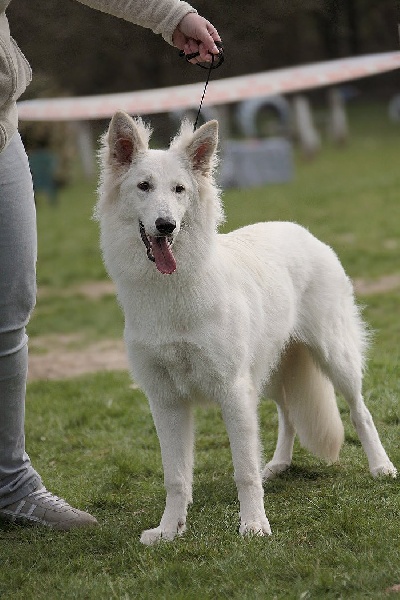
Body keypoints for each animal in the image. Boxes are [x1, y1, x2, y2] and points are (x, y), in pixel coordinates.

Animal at [96, 111, 396, 544]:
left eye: (179, 189)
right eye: (144, 186)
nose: (166, 226)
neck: (173, 289)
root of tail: (300, 230)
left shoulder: (233, 392)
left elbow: (244, 471)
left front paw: (253, 525)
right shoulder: (166, 401)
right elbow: (176, 477)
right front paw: (170, 530)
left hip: (333, 358)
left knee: (360, 411)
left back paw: (381, 467)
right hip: (267, 374)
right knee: (288, 413)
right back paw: (279, 464)